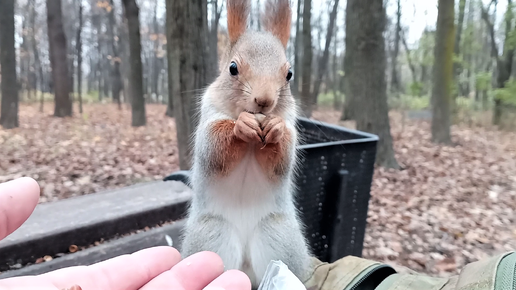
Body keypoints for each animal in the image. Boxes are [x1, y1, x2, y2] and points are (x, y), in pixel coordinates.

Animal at [179, 0, 312, 288]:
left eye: (289, 74)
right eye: (232, 68)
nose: (264, 101)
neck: (252, 143)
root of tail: (247, 269)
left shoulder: (290, 127)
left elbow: (281, 161)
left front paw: (275, 129)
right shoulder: (209, 117)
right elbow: (213, 149)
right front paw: (241, 127)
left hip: (278, 235)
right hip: (212, 235)